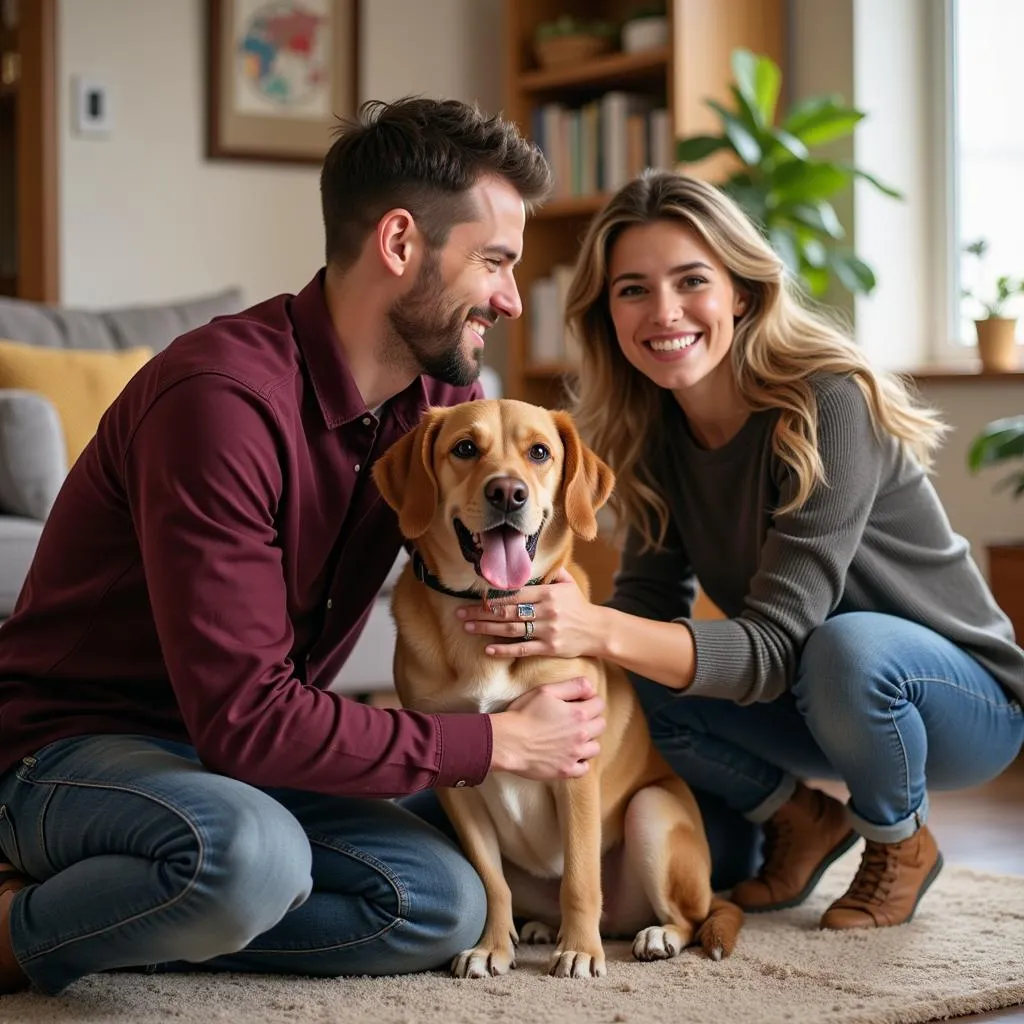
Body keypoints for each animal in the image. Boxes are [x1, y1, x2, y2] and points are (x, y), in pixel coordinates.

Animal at [372, 397, 741, 974]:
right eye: (465, 448)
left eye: (539, 452)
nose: (508, 492)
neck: (491, 609)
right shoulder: (458, 776)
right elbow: (492, 882)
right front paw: (492, 948)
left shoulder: (576, 765)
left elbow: (581, 879)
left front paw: (581, 952)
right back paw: (540, 928)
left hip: (652, 812)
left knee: (690, 916)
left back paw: (652, 935)